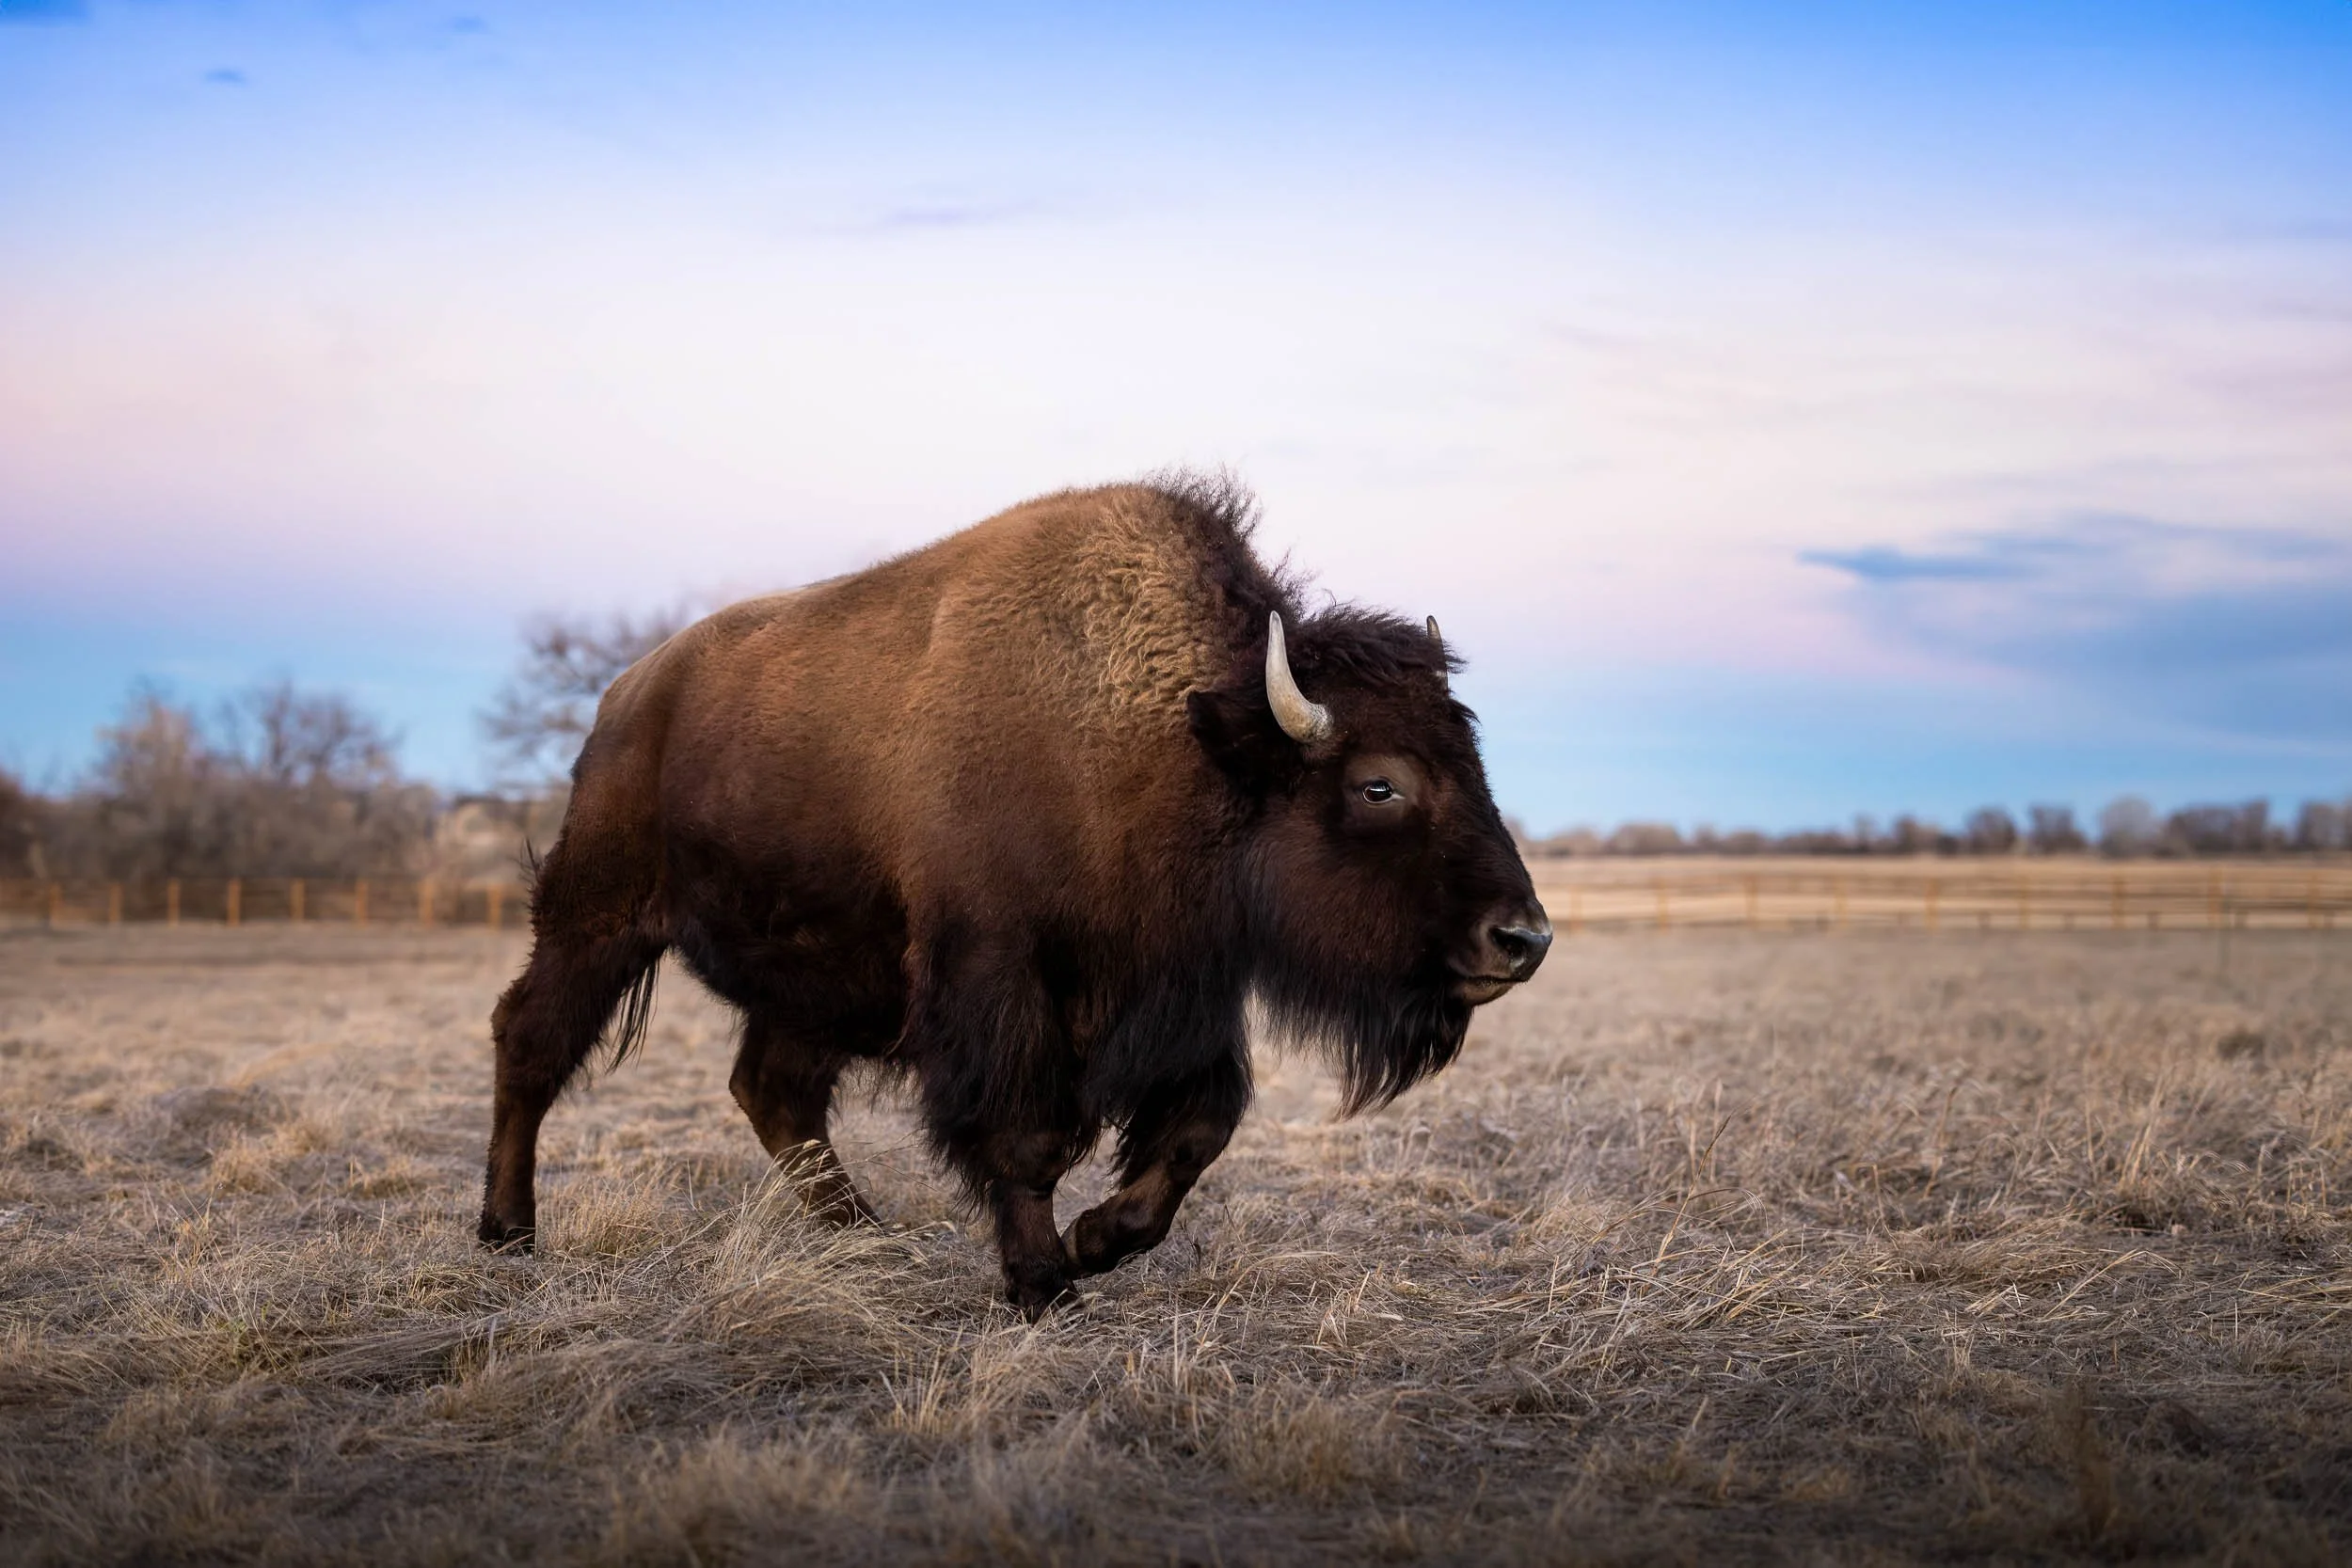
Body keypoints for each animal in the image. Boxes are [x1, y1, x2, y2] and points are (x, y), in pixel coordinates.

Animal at [478, 477, 1551, 1314]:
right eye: (1379, 784)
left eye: (1474, 760)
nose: (1523, 938)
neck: (1176, 740)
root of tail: (628, 694)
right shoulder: (1001, 980)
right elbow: (1027, 1137)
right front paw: (1043, 1282)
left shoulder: (1182, 992)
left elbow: (1195, 1130)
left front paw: (1092, 1242)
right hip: (596, 915)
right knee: (531, 1040)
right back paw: (507, 1232)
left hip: (820, 975)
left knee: (772, 1089)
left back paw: (867, 1236)